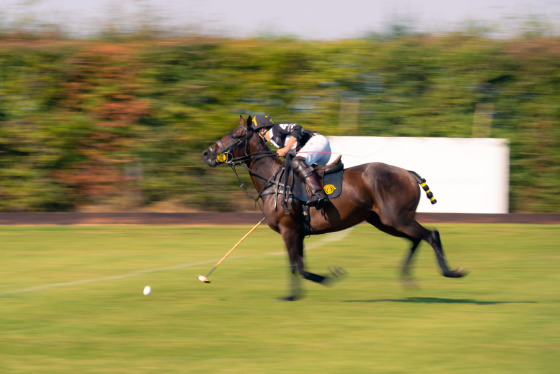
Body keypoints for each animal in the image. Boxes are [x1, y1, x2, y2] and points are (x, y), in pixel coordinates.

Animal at [203, 115, 466, 300]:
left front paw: (292, 295)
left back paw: (450, 272)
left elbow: (294, 265)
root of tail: (408, 173)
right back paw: (407, 279)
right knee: (417, 238)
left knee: (431, 234)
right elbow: (301, 266)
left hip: (396, 218)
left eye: (235, 135)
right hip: (384, 221)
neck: (273, 179)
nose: (206, 154)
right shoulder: (298, 232)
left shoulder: (289, 230)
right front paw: (330, 276)